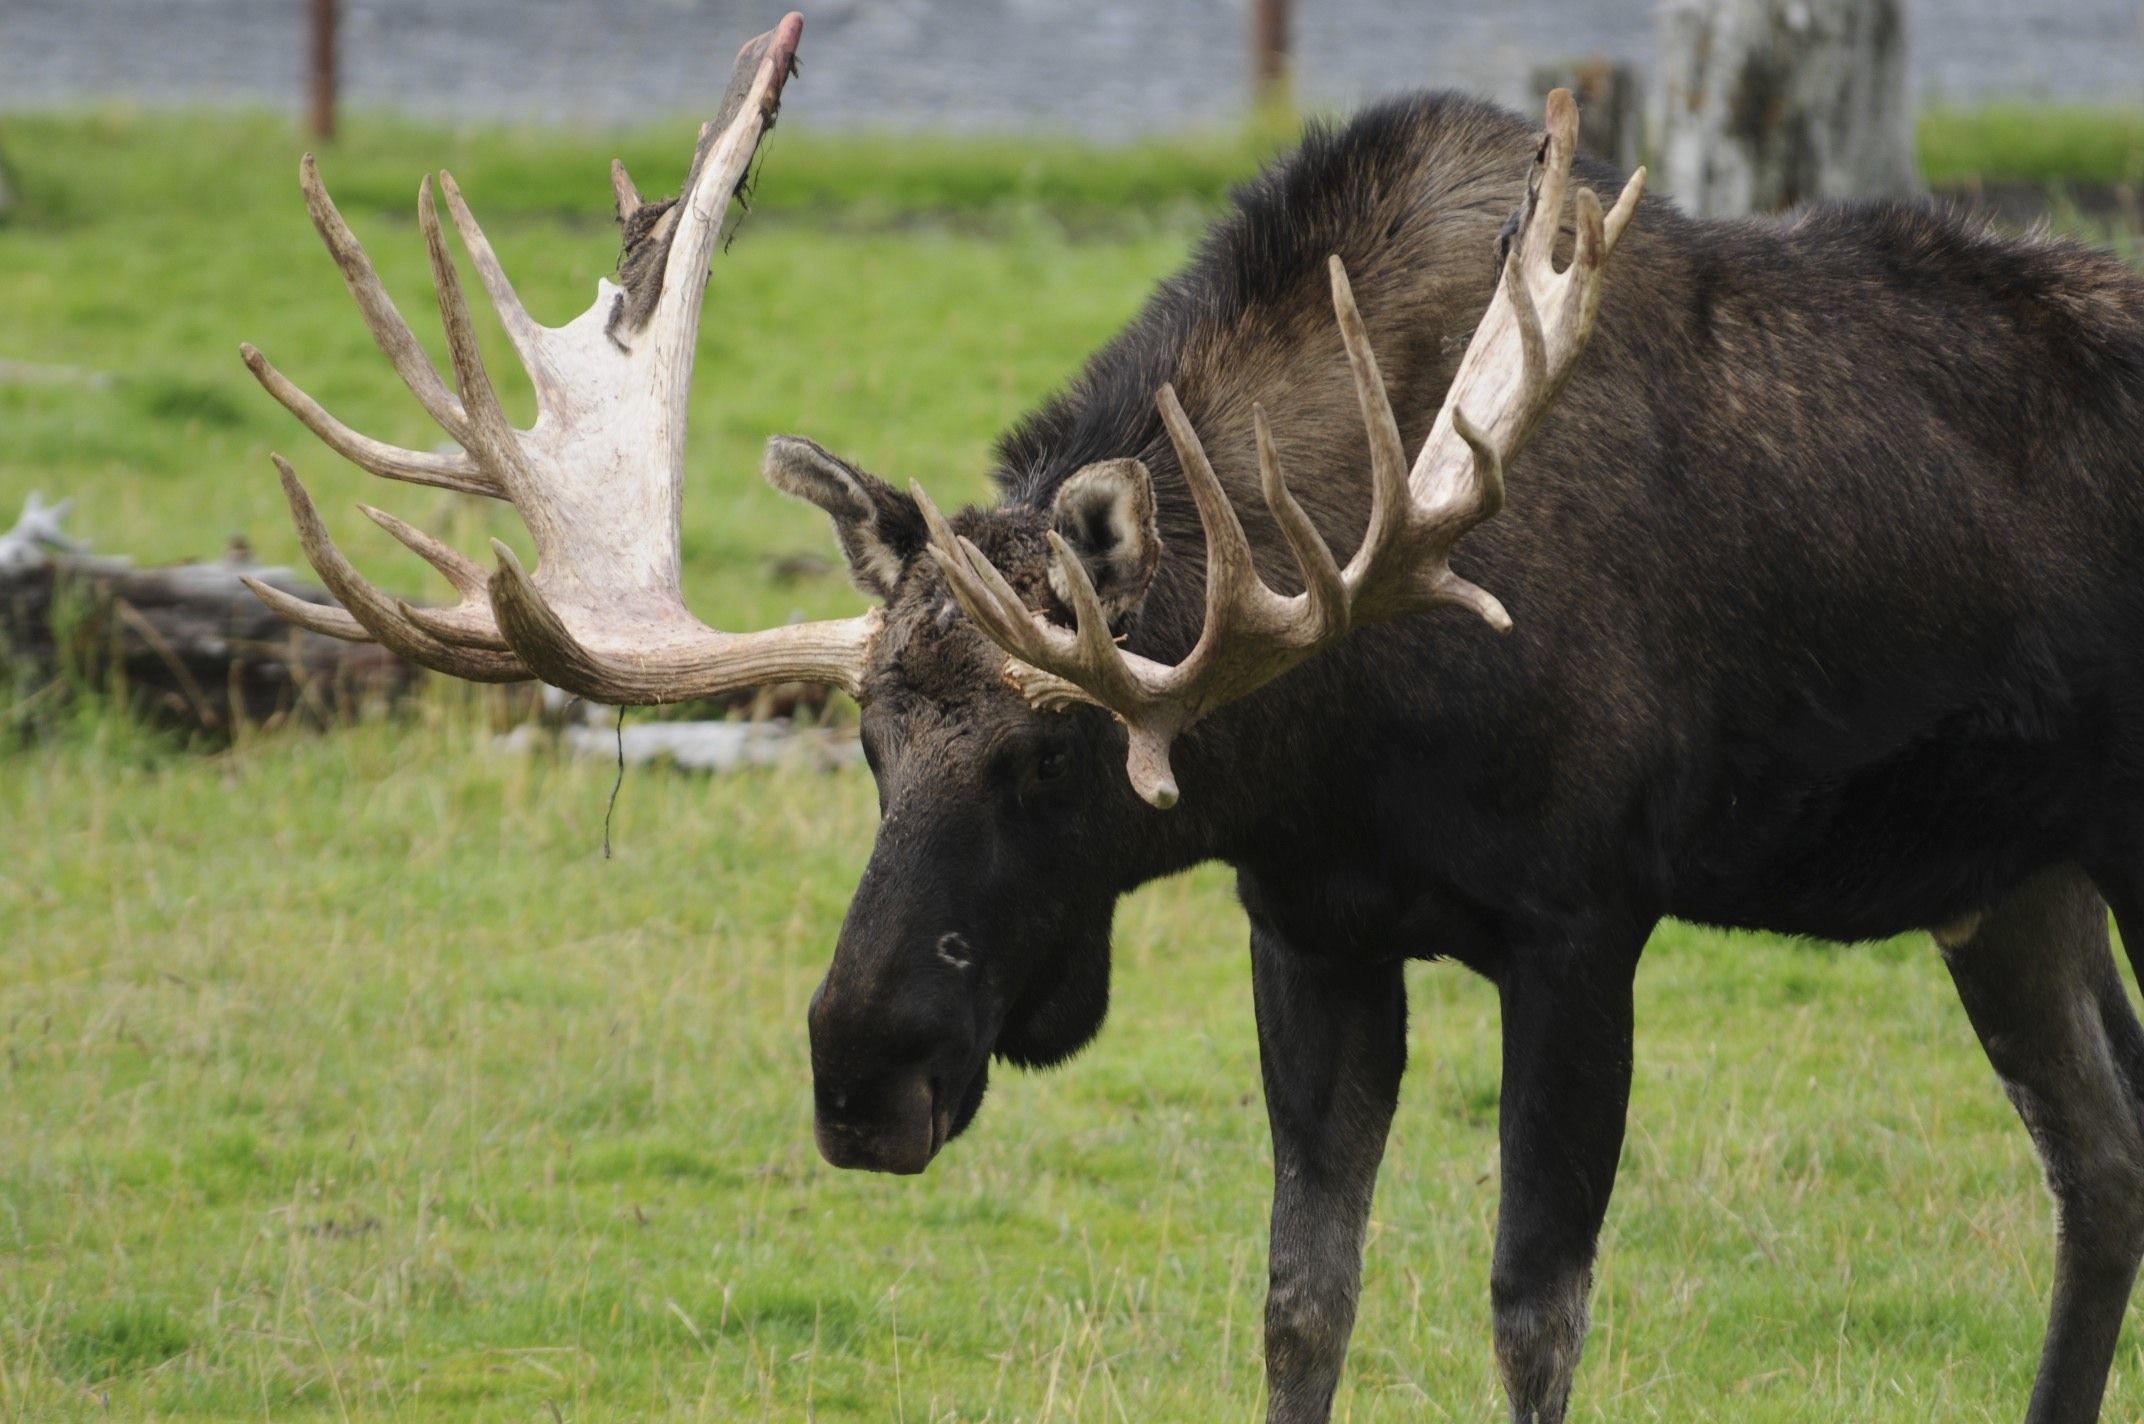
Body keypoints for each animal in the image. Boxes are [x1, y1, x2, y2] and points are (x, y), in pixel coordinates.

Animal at [243, 11, 2144, 1423]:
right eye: (863, 742)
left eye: (1051, 754)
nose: (861, 1068)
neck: (1341, 721)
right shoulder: (1306, 927)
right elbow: (1302, 1296)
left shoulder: (1580, 921)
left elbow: (1533, 1309)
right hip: (2014, 879)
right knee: (2102, 1149)